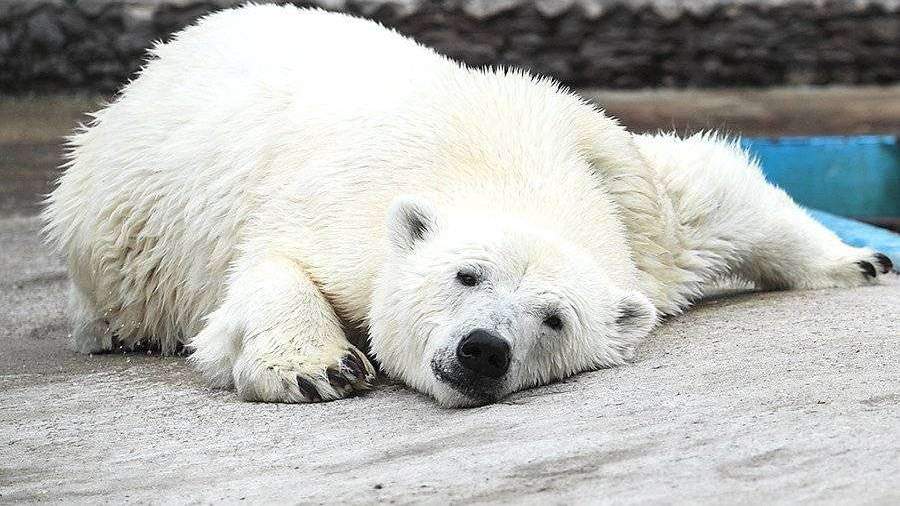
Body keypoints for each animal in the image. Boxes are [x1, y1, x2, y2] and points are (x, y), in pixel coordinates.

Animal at [44, 3, 892, 408]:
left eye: (554, 319)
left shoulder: (629, 199)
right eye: (466, 276)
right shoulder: (330, 209)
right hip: (112, 211)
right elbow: (269, 268)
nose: (484, 349)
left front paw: (861, 258)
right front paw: (317, 367)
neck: (489, 153)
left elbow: (712, 192)